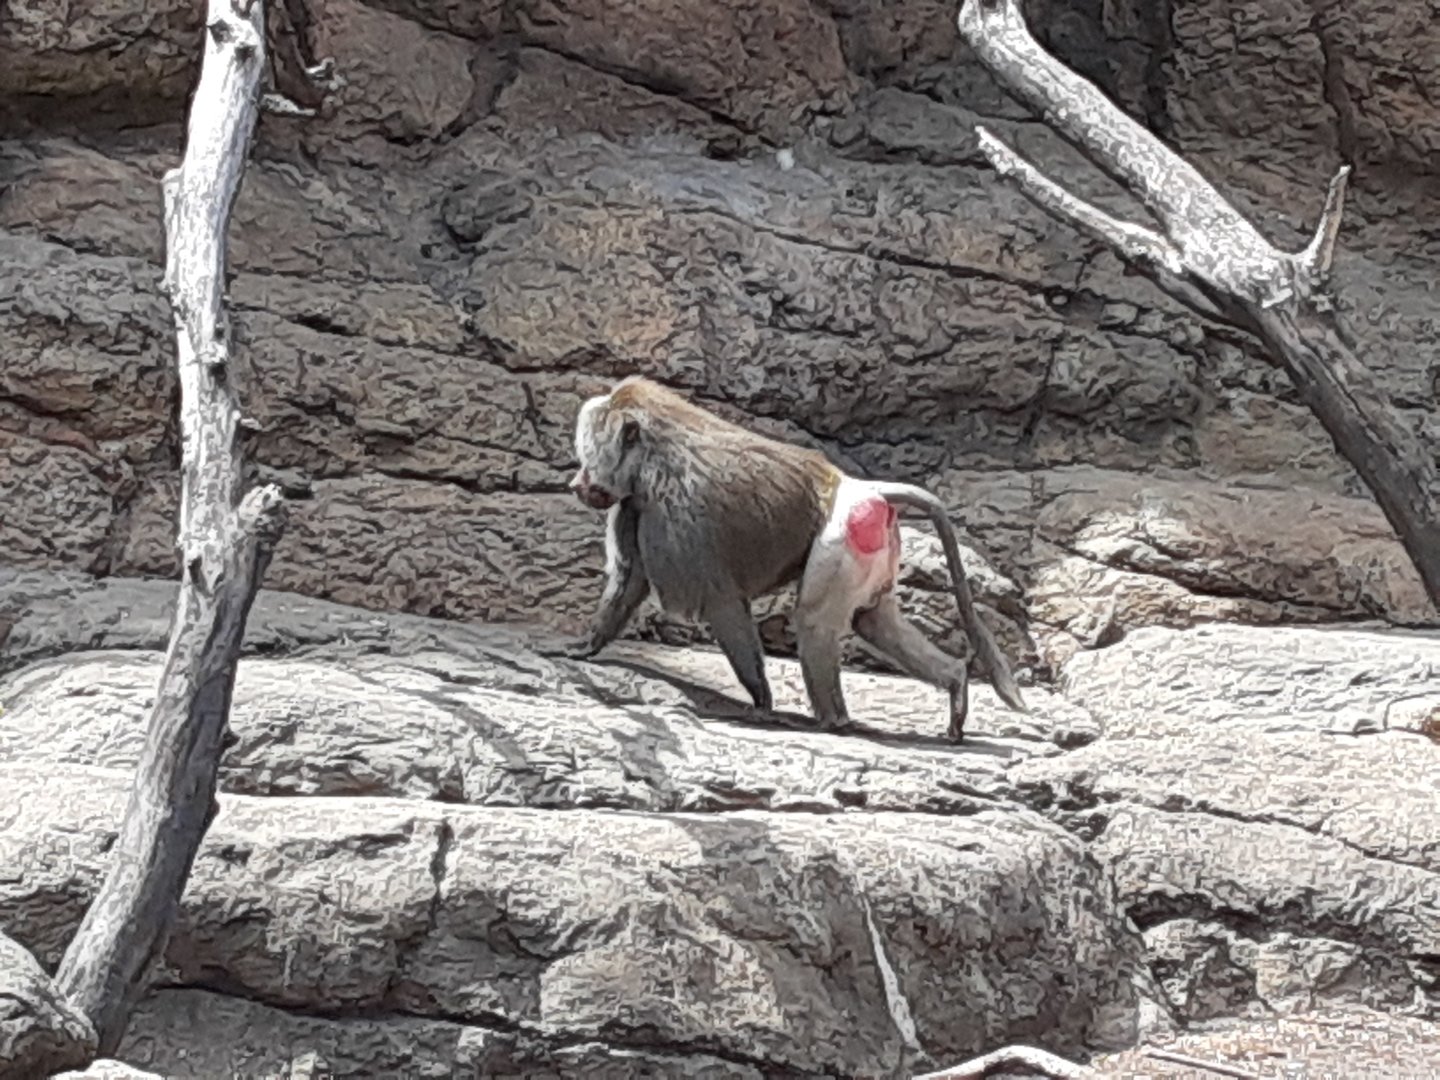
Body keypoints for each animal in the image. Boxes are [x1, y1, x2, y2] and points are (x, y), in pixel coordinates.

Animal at [551, 375, 1028, 741]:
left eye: (588, 458)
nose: (576, 485)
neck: (653, 454)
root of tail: (866, 488)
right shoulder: (632, 507)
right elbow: (629, 580)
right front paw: (583, 647)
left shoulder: (675, 515)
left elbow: (720, 601)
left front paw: (760, 701)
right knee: (874, 622)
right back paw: (954, 685)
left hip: (843, 535)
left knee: (814, 621)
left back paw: (833, 722)